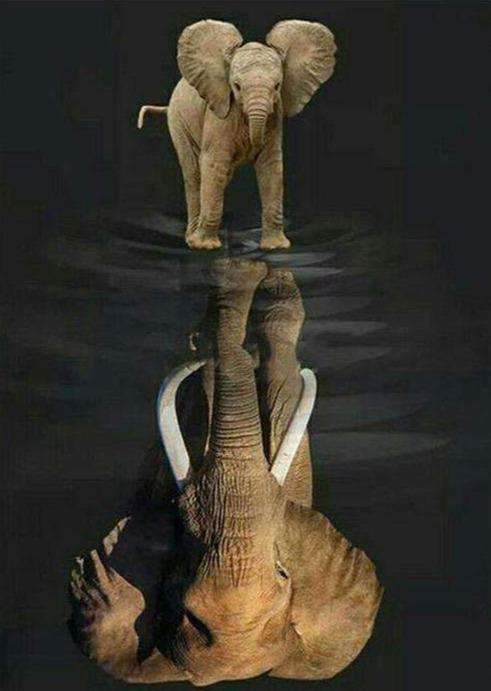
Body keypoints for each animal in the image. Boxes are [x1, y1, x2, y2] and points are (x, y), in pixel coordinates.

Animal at [137, 20, 337, 251]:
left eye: (277, 86)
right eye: (237, 86)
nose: (251, 142)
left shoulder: (275, 114)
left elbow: (270, 166)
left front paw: (276, 248)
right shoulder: (220, 112)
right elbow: (214, 164)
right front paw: (206, 247)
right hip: (177, 120)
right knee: (194, 172)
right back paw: (192, 240)